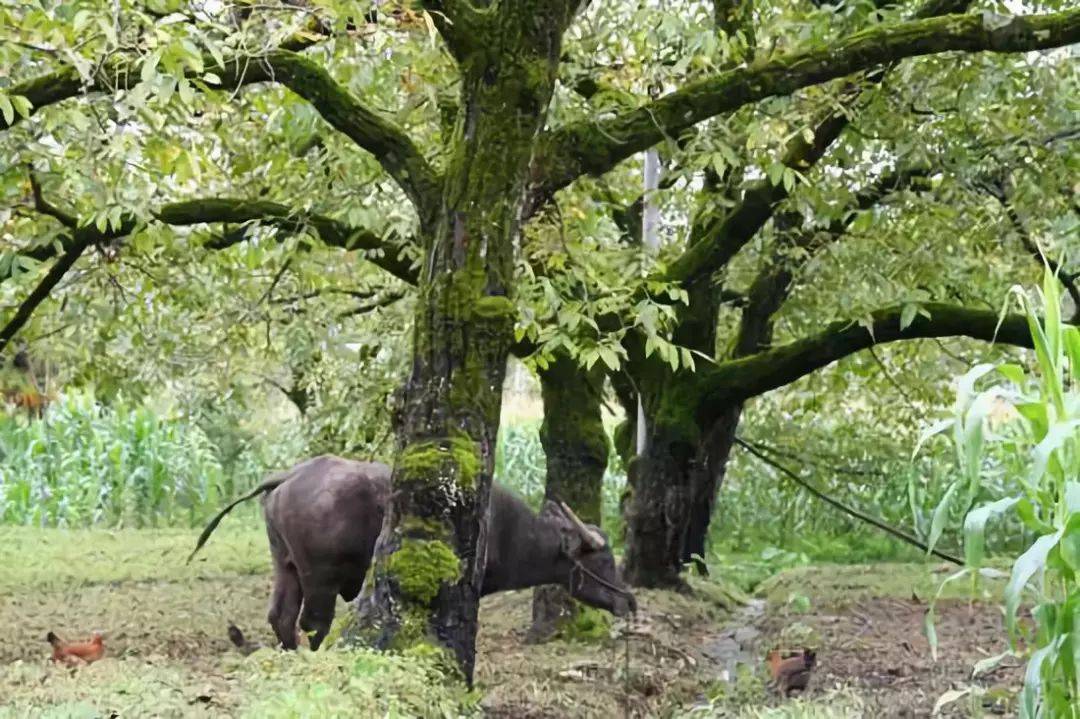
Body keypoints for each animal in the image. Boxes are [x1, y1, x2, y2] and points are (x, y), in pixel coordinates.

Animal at [191, 453, 635, 647]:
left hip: (285, 565)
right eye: (604, 558)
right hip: (320, 577)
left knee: (281, 617)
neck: (509, 530)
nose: (629, 601)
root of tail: (292, 475)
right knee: (313, 622)